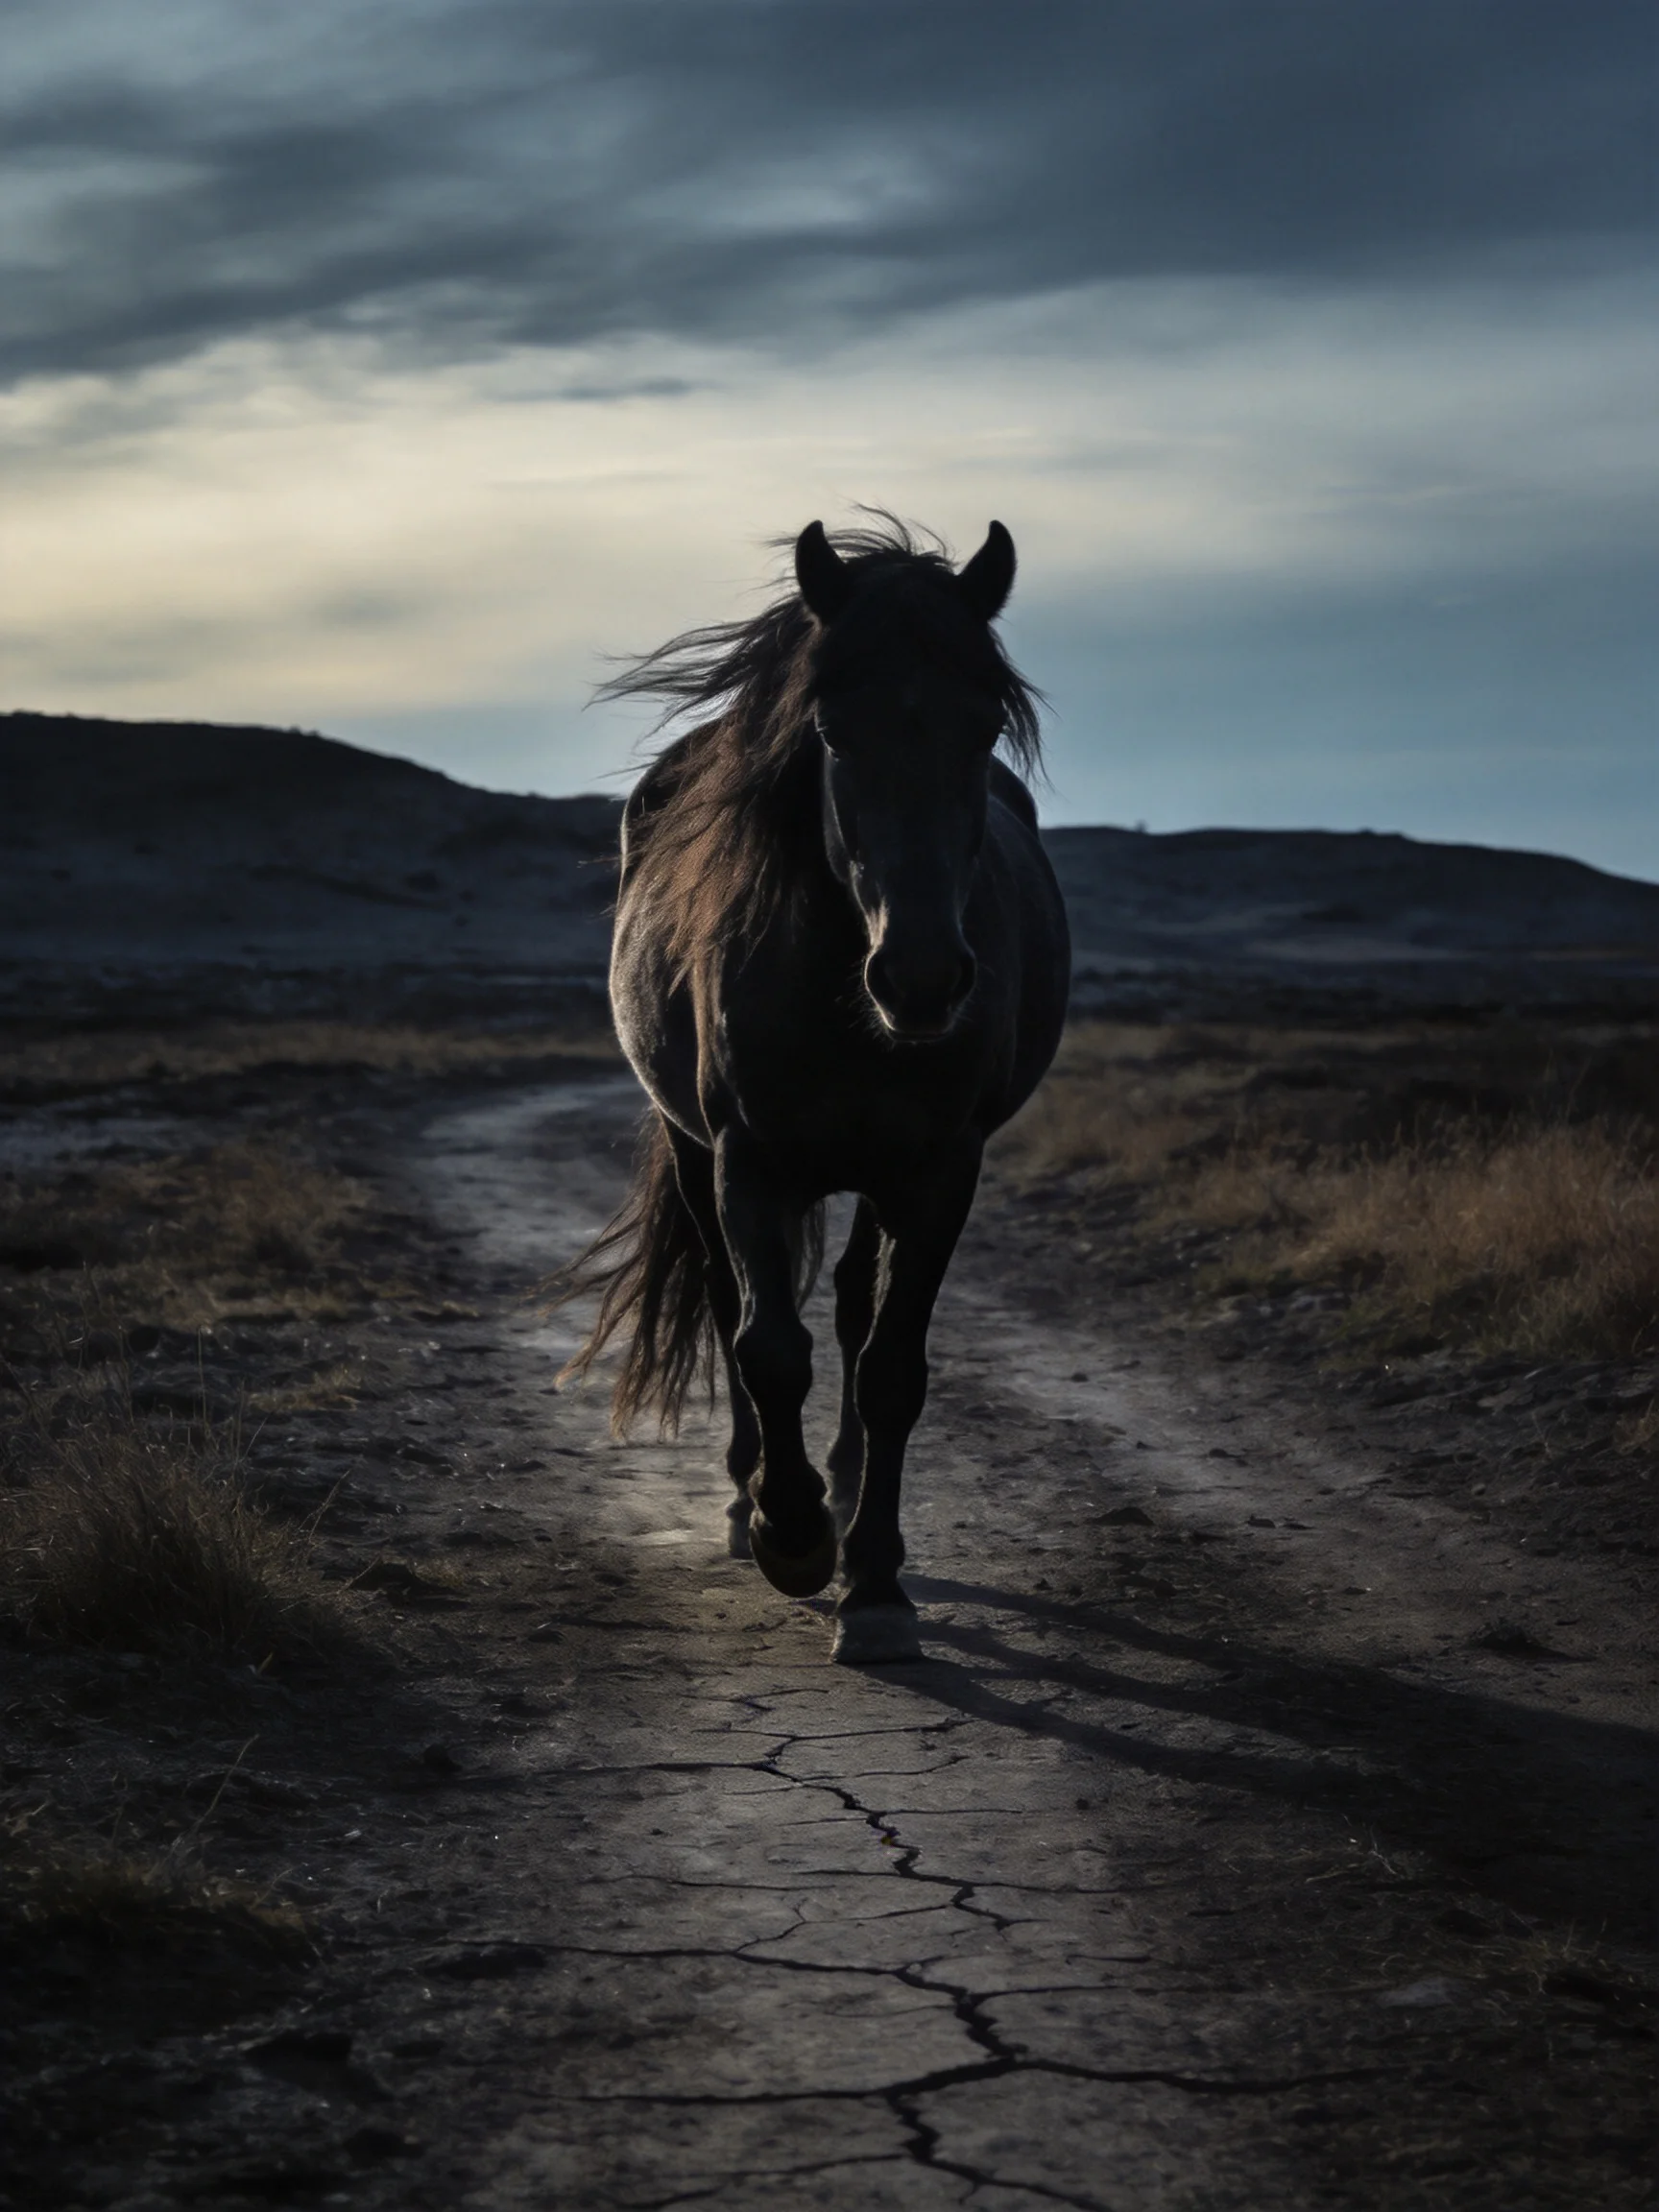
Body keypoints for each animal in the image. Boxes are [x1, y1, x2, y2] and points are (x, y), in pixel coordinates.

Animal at [566, 515, 1070, 1663]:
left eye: (984, 732)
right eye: (833, 735)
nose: (921, 977)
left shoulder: (938, 1174)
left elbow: (890, 1369)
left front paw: (874, 1583)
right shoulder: (748, 1161)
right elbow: (768, 1348)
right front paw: (787, 1531)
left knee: (848, 1307)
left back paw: (838, 1493)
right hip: (697, 1155)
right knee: (729, 1302)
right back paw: (750, 1495)